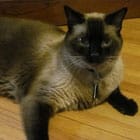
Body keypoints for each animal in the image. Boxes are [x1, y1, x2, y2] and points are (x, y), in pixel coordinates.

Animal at [0, 5, 138, 140]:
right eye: (83, 41)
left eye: (106, 41)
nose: (94, 54)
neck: (95, 76)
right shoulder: (38, 100)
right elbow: (39, 134)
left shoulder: (110, 85)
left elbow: (115, 92)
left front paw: (131, 108)